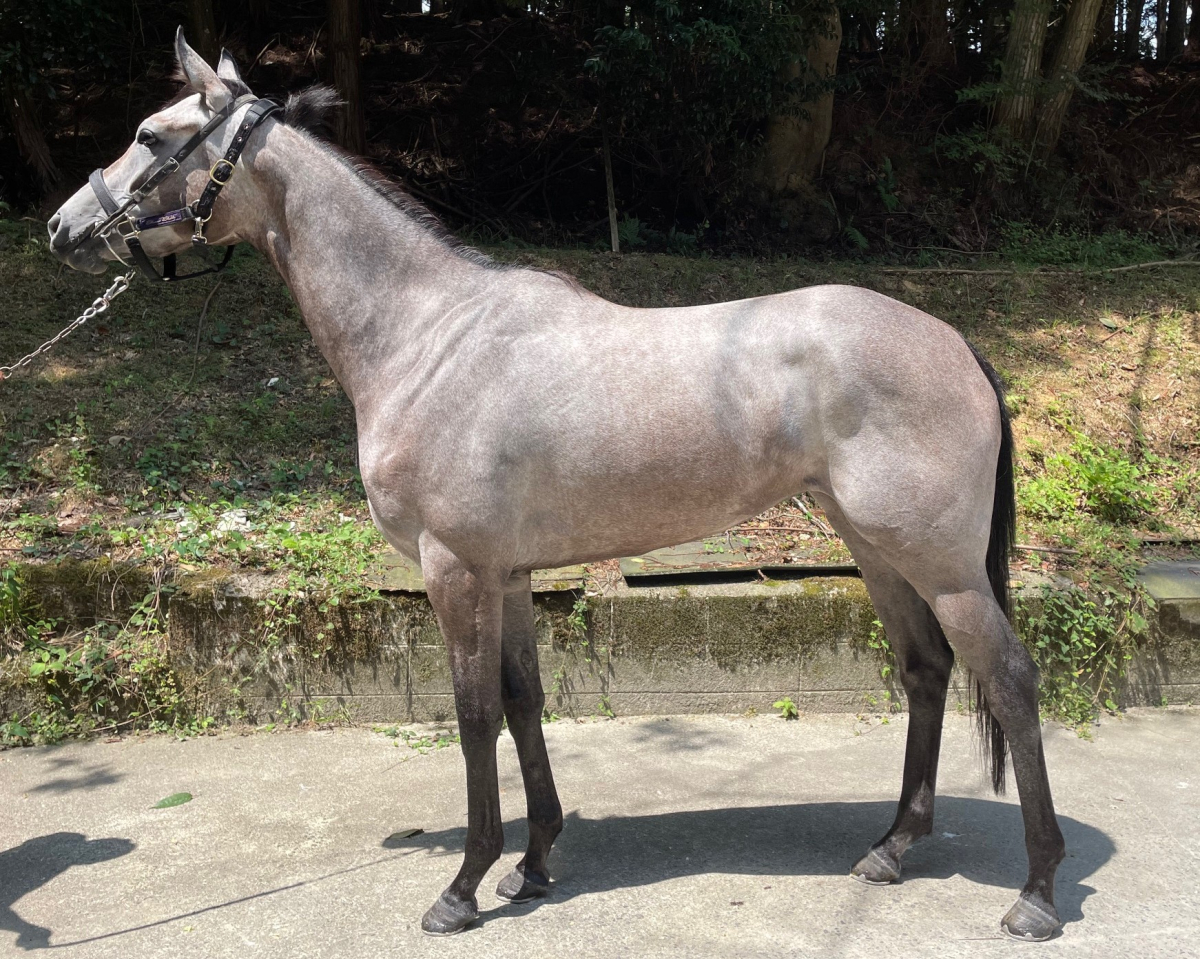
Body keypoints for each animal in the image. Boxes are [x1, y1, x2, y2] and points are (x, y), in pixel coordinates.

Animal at [46, 30, 1065, 942]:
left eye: (149, 134)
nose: (62, 228)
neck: (429, 336)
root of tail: (957, 344)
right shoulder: (508, 576)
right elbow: (525, 703)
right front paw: (532, 866)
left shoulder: (454, 570)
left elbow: (472, 715)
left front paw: (462, 886)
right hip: (877, 549)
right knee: (927, 672)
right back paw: (892, 848)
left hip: (943, 565)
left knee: (1010, 681)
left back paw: (1037, 892)